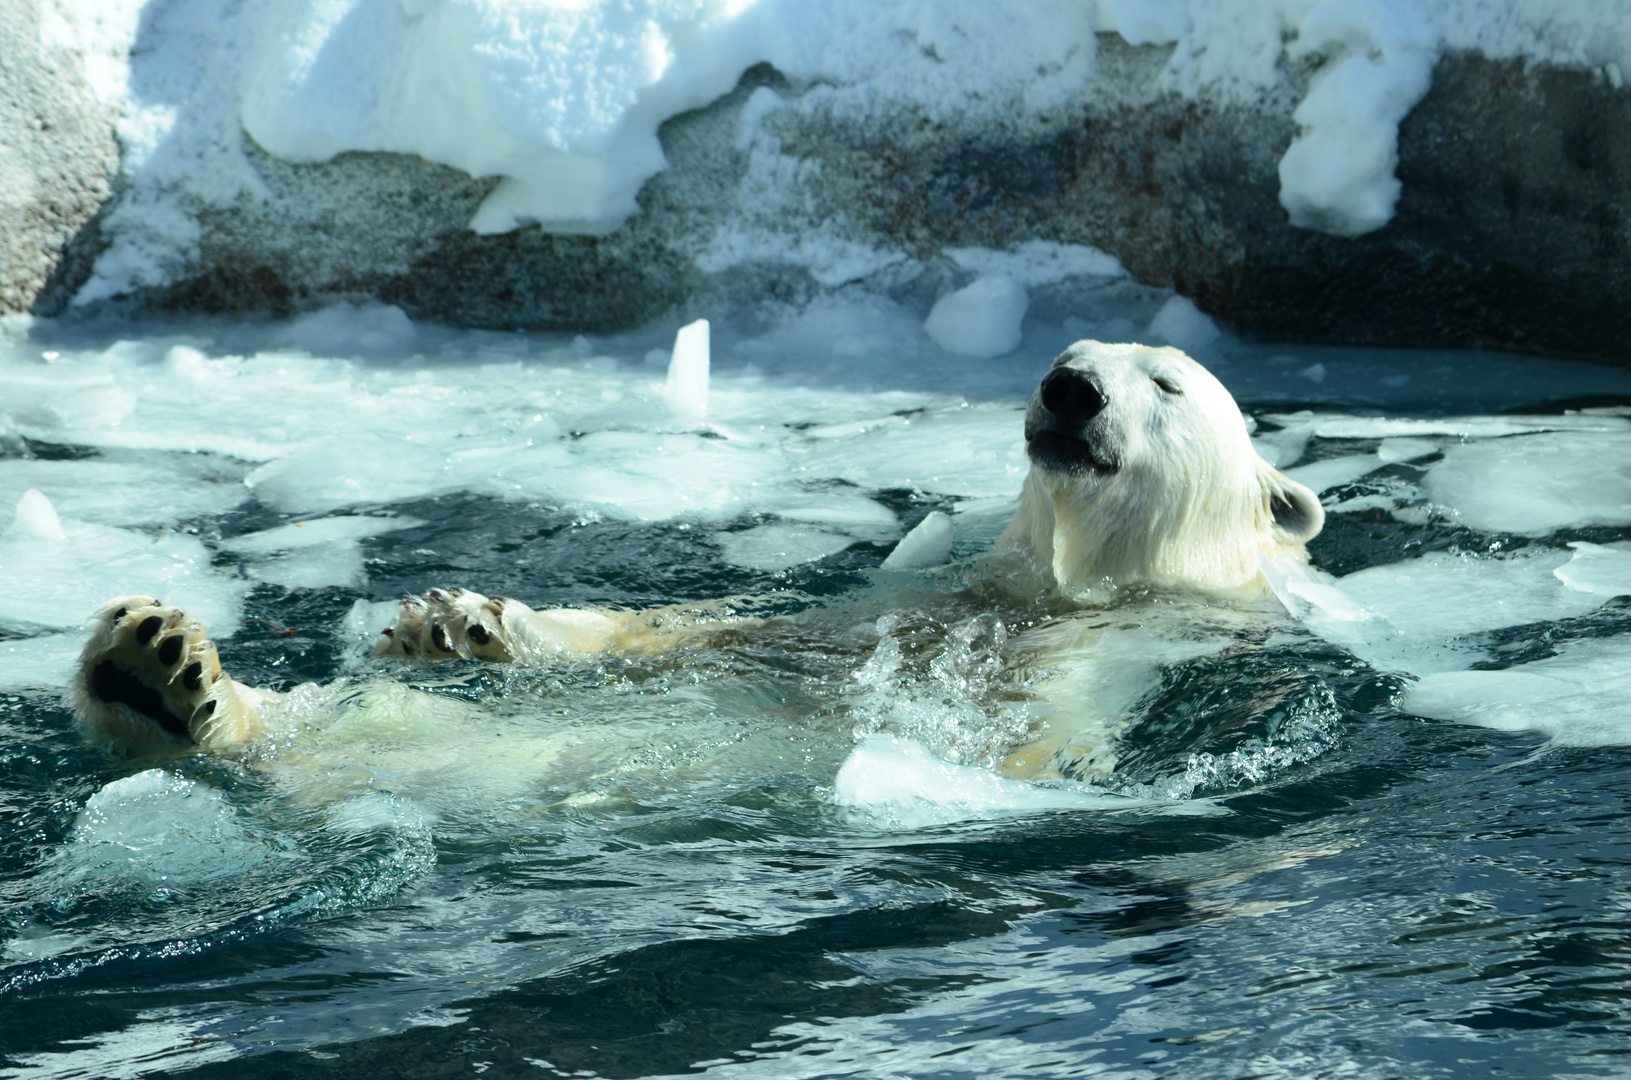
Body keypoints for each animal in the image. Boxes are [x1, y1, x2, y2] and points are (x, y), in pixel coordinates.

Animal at [73, 339, 1324, 770]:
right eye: (1069, 352)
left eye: (1165, 383)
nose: (1067, 390)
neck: (1062, 588)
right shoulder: (924, 587)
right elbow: (699, 631)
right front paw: (459, 622)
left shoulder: (1102, 659)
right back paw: (155, 664)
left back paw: (167, 689)